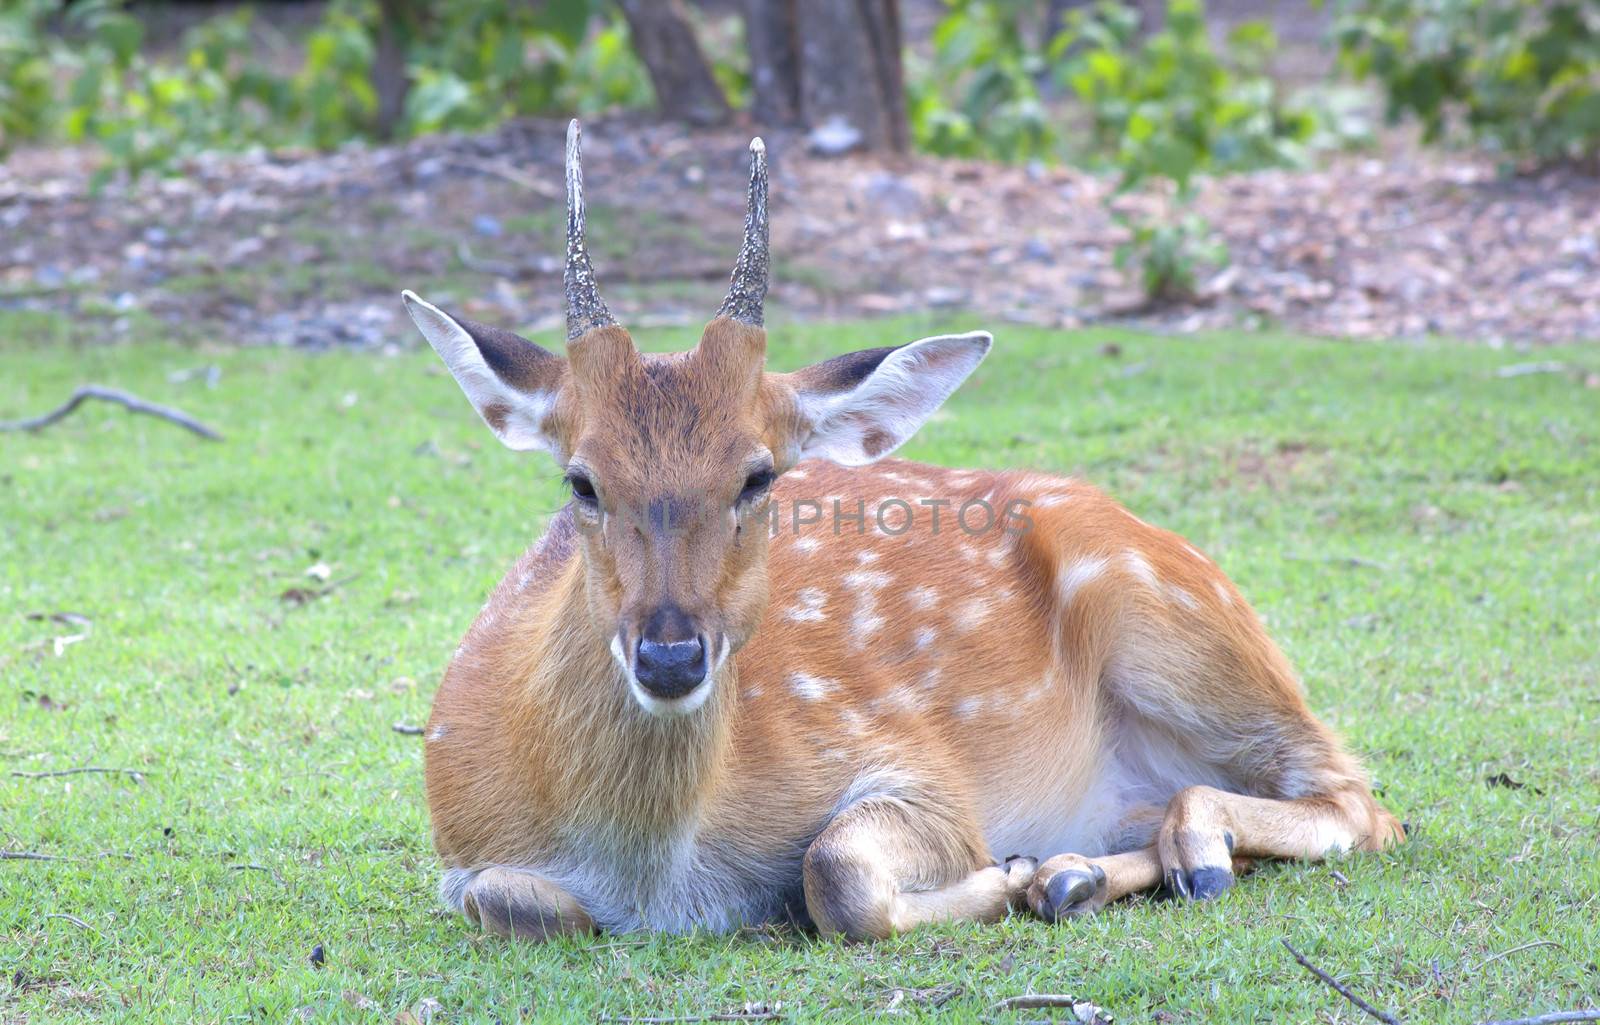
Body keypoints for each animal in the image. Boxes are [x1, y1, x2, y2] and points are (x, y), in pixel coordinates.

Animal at [400, 118, 1401, 933]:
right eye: (581, 481)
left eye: (759, 476)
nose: (672, 655)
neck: (651, 874)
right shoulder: (461, 850)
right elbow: (517, 898)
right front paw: (1034, 874)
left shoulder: (919, 766)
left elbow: (836, 869)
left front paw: (1004, 873)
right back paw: (1079, 871)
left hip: (1172, 613)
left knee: (1360, 796)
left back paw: (1146, 858)